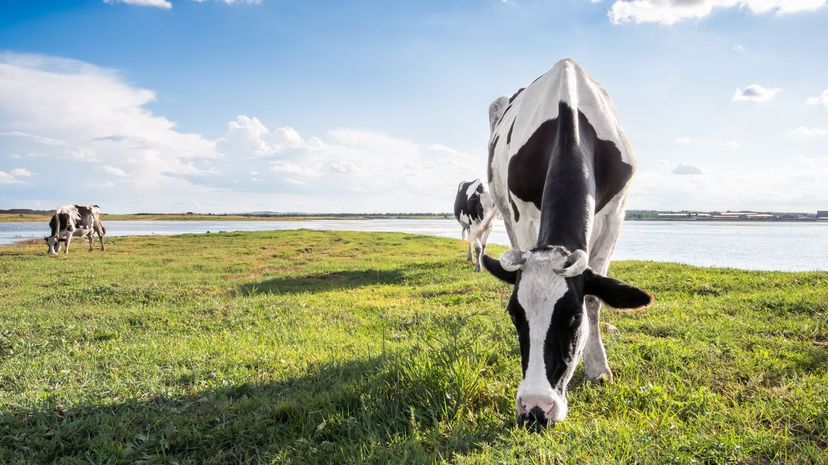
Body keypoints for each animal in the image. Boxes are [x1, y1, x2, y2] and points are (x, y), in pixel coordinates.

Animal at [481, 59, 652, 429]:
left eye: (573, 317)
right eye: (515, 313)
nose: (535, 409)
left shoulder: (615, 215)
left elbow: (596, 298)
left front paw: (598, 369)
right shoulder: (523, 214)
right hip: (502, 204)